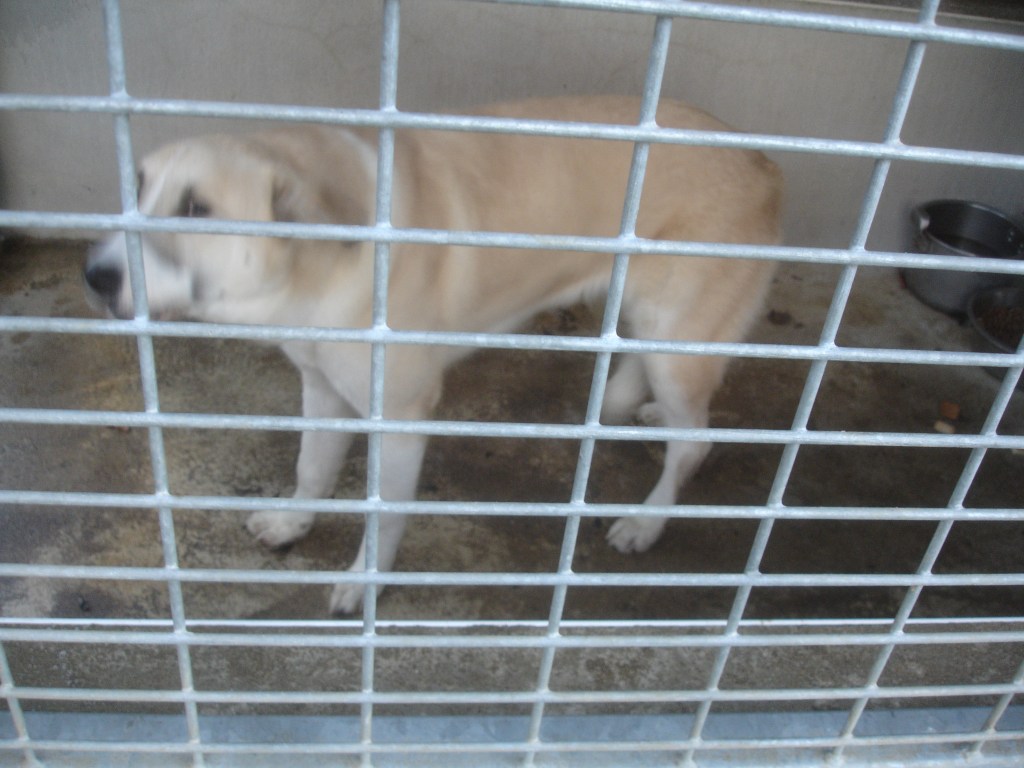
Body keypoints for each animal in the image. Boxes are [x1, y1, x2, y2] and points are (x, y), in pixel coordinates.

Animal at [85, 96, 782, 614]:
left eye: (195, 207)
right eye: (137, 186)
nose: (93, 275)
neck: (322, 265)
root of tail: (760, 158)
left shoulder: (401, 419)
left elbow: (384, 515)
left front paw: (365, 582)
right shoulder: (322, 386)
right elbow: (312, 468)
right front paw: (294, 522)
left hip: (677, 341)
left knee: (697, 442)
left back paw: (647, 519)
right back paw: (649, 415)